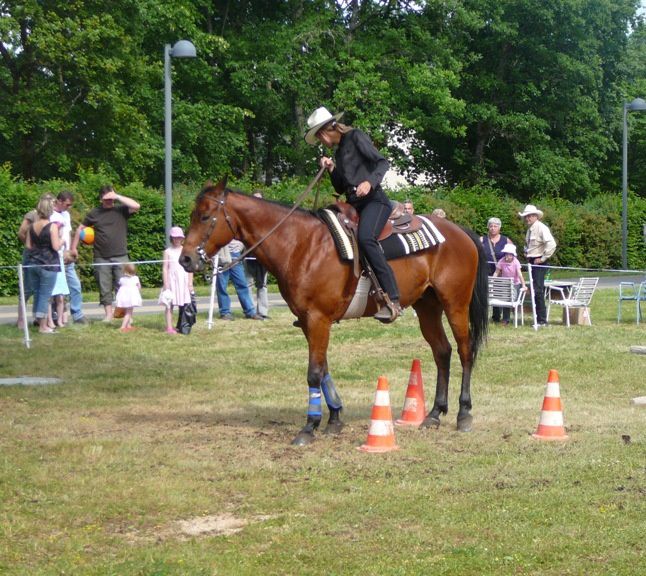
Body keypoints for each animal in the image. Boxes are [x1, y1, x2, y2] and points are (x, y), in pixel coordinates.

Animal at [180, 179, 488, 446]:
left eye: (205, 217)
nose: (185, 259)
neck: (300, 244)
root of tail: (461, 231)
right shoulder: (308, 321)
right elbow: (323, 368)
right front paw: (335, 418)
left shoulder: (318, 319)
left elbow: (314, 373)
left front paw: (309, 426)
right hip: (427, 307)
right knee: (442, 352)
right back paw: (434, 414)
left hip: (455, 304)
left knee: (465, 350)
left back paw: (464, 413)